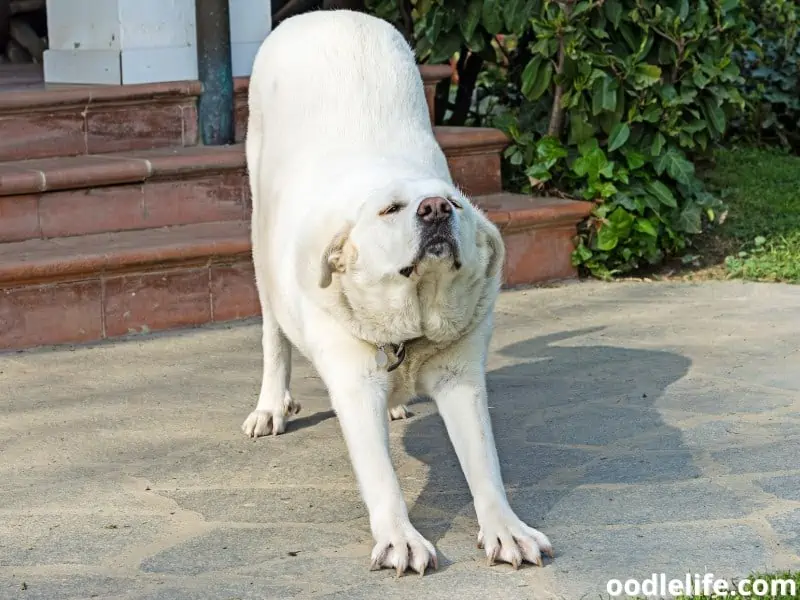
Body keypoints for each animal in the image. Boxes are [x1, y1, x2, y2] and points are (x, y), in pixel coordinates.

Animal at [241, 8, 552, 572]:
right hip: (259, 240)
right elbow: (380, 474)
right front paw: (399, 538)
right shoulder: (353, 380)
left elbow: (485, 463)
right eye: (390, 210)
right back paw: (271, 404)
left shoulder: (460, 377)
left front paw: (506, 528)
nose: (435, 208)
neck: (413, 322)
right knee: (274, 333)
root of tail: (328, 13)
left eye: (456, 204)